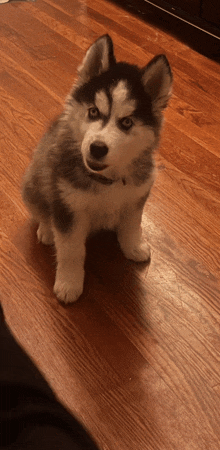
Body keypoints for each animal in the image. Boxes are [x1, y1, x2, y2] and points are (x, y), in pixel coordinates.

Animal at [22, 34, 174, 302]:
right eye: (93, 111)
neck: (106, 180)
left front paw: (133, 247)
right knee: (42, 211)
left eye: (127, 122)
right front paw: (69, 283)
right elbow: (70, 250)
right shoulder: (67, 208)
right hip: (34, 184)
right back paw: (47, 231)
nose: (97, 148)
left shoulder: (136, 197)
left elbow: (132, 225)